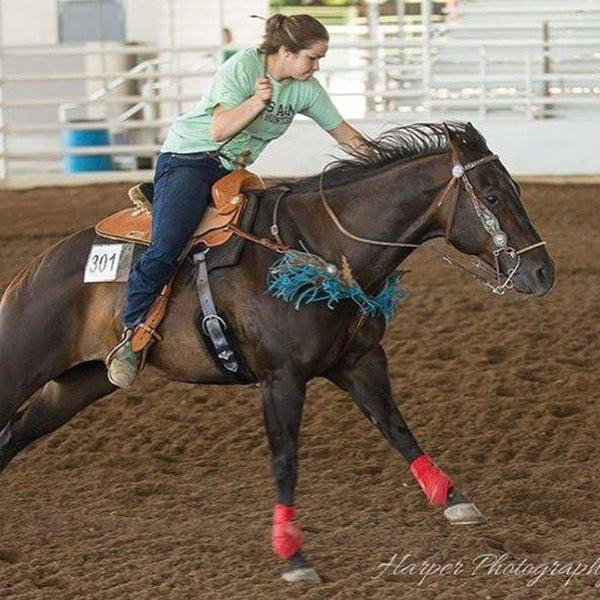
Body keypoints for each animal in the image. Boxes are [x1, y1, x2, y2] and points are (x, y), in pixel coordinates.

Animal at [0, 120, 552, 580]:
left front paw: (454, 498)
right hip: (20, 367)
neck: (321, 249)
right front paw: (294, 555)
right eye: (493, 197)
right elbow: (285, 460)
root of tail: (33, 272)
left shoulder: (360, 363)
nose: (544, 271)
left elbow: (396, 427)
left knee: (15, 435)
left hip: (80, 382)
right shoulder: (280, 379)